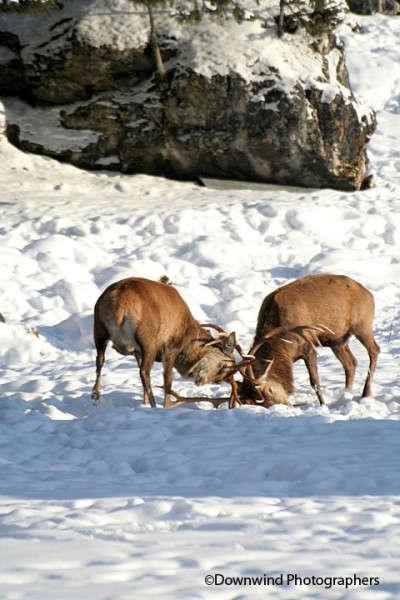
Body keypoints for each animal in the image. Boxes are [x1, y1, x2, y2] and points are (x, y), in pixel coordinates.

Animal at [92, 276, 252, 408]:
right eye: (223, 367)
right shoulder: (170, 347)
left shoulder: (137, 351)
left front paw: (143, 403)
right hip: (148, 340)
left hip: (99, 329)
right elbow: (167, 381)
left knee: (100, 361)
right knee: (146, 373)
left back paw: (95, 396)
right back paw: (155, 405)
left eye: (219, 380)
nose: (200, 381)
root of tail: (120, 304)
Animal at [239, 274, 380, 408]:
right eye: (261, 403)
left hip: (362, 325)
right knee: (351, 363)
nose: (287, 405)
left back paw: (366, 393)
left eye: (270, 390)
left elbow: (314, 381)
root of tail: (370, 294)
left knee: (374, 350)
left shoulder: (308, 345)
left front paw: (323, 405)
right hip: (337, 340)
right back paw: (346, 394)